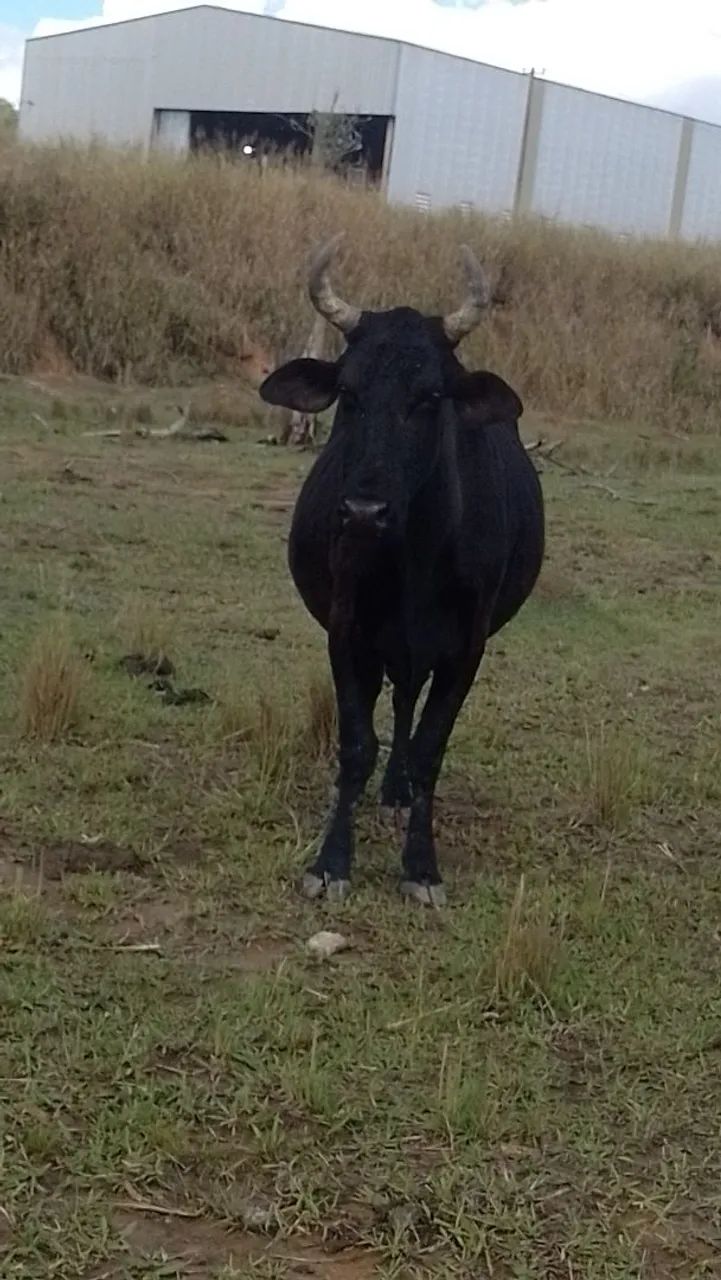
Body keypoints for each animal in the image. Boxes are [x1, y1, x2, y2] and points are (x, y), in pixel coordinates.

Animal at [259, 235, 545, 906]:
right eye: (349, 391)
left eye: (430, 397)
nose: (364, 512)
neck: (414, 559)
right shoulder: (348, 636)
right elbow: (357, 746)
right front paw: (332, 861)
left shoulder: (466, 650)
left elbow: (428, 751)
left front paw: (421, 865)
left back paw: (398, 796)